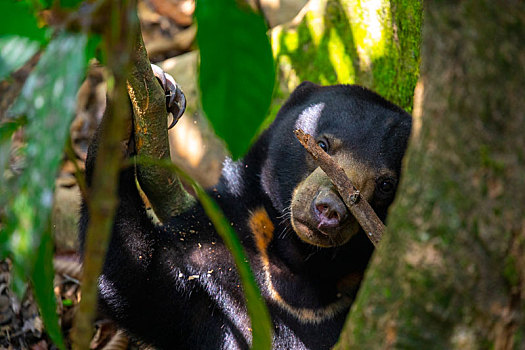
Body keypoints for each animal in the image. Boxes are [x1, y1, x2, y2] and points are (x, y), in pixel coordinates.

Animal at [80, 72, 412, 348]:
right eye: (321, 145)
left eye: (385, 184)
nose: (330, 210)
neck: (300, 263)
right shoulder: (216, 243)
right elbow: (142, 284)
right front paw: (132, 111)